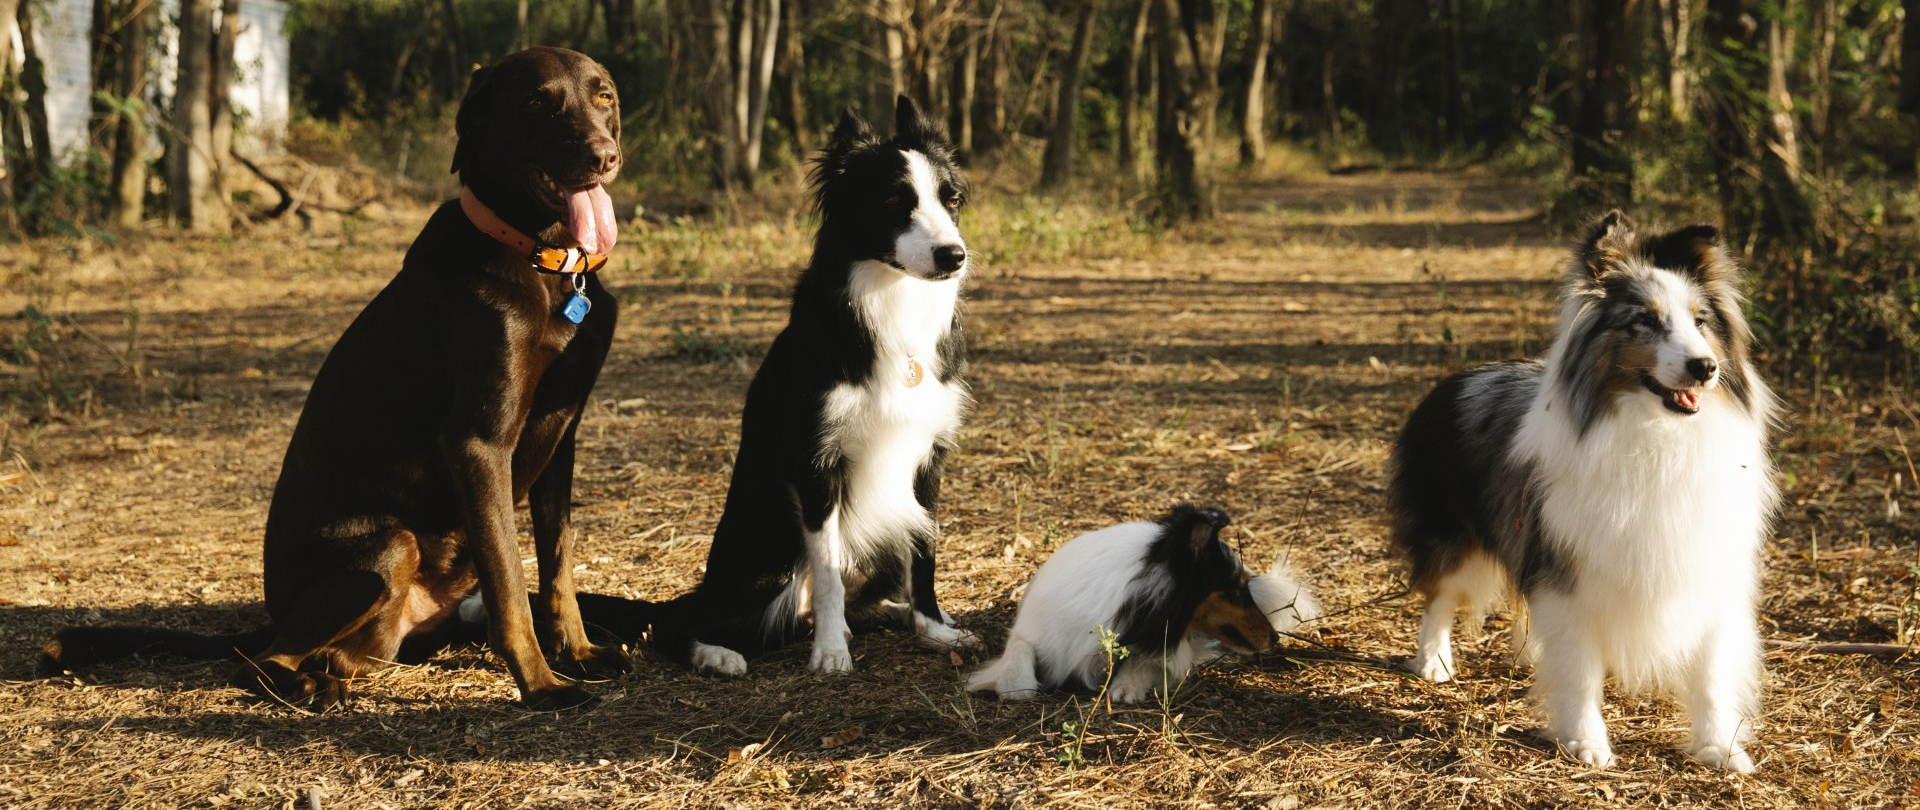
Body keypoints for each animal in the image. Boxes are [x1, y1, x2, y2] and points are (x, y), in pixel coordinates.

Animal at [39, 47, 622, 710]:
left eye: (603, 96)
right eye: (534, 102)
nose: (604, 157)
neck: (547, 265)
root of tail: (274, 615)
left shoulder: (560, 436)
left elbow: (558, 566)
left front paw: (579, 654)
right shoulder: (479, 444)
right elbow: (508, 582)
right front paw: (542, 685)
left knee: (334, 655)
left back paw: (329, 675)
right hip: (388, 548)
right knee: (259, 661)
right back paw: (308, 687)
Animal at [522, 96, 975, 675]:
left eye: (951, 199)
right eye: (896, 201)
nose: (954, 256)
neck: (890, 299)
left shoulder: (927, 457)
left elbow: (925, 553)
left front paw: (934, 628)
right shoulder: (815, 464)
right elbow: (828, 568)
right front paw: (832, 651)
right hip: (772, 560)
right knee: (677, 624)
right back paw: (720, 653)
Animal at [967, 506, 1313, 702]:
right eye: (1237, 589)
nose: (1275, 638)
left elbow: (1144, 662)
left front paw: (1126, 685)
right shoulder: (1038, 632)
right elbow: (1019, 650)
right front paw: (1017, 685)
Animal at [1390, 212, 1774, 775]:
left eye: (1701, 322)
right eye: (1644, 322)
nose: (1705, 367)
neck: (1655, 435)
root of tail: (1452, 380)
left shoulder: (1705, 566)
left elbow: (1710, 674)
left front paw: (1719, 747)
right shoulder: (1568, 569)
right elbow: (1580, 668)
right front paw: (1586, 741)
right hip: (1454, 534)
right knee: (1439, 594)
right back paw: (1434, 661)